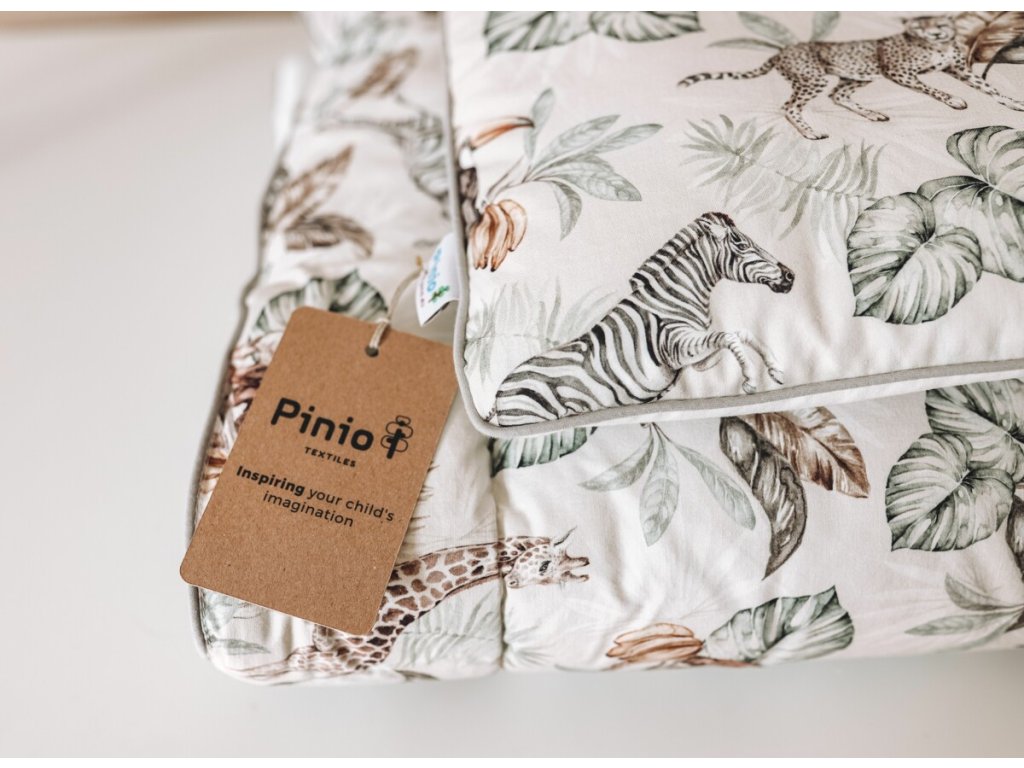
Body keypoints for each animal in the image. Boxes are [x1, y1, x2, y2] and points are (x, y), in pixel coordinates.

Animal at [487, 212, 795, 426]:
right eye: (741, 244)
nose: (790, 276)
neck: (676, 296)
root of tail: (497, 392)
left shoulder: (696, 359)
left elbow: (740, 334)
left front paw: (774, 369)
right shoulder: (676, 346)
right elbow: (729, 336)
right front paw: (750, 379)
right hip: (529, 416)